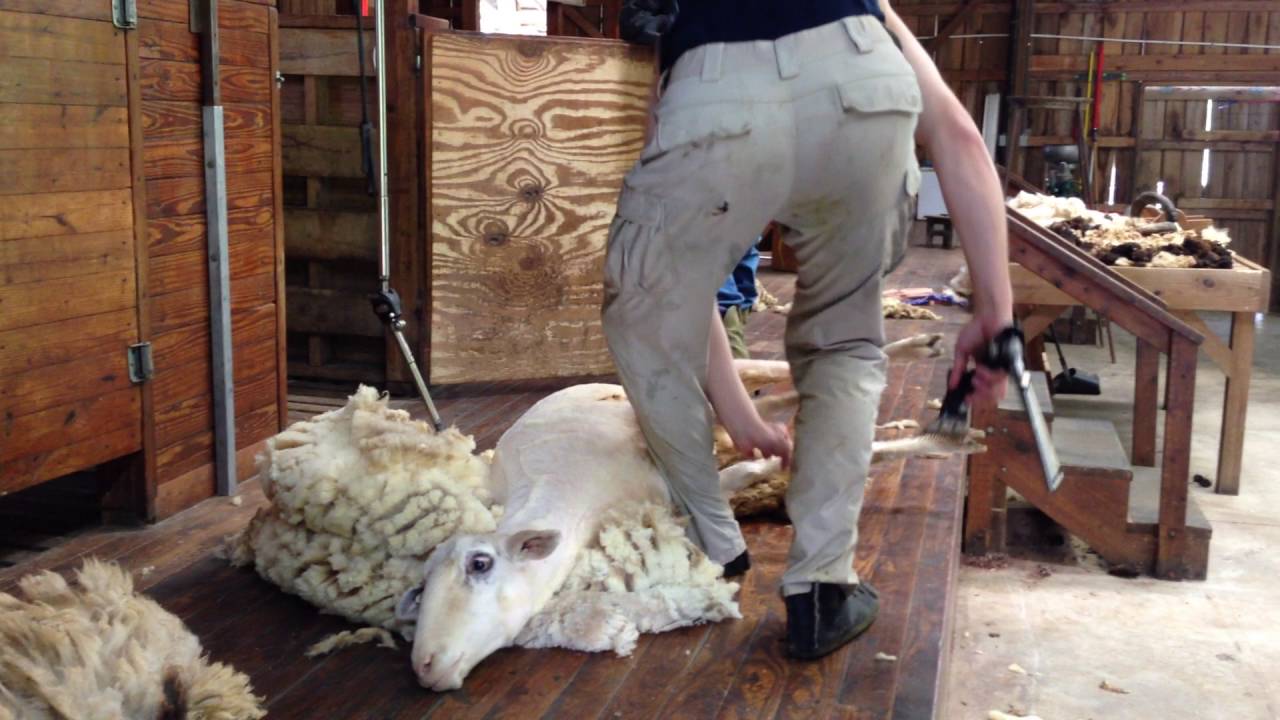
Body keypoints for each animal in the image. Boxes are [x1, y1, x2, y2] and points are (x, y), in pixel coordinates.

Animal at [232, 334, 983, 691]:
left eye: (480, 564)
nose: (426, 667)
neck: (572, 493)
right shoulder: (687, 491)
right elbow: (759, 469)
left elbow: (772, 465)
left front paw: (943, 441)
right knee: (773, 400)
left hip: (703, 393)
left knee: (772, 375)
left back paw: (920, 360)